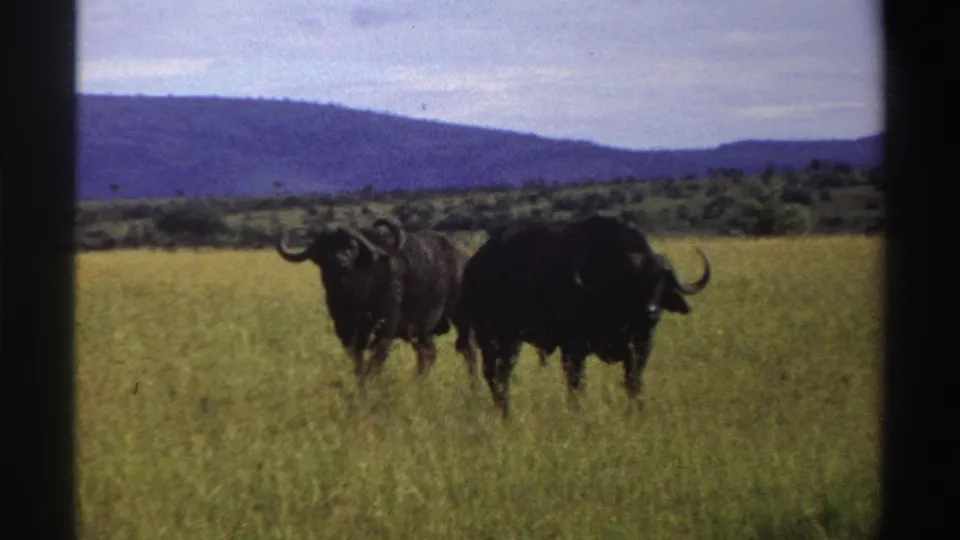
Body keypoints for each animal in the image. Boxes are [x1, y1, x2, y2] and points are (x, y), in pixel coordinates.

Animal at [456, 215, 711, 417]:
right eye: (630, 282)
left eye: (660, 282)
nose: (651, 312)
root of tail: (473, 267)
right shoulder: (573, 348)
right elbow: (576, 384)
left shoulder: (641, 346)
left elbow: (634, 382)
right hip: (495, 339)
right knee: (496, 377)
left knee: (501, 375)